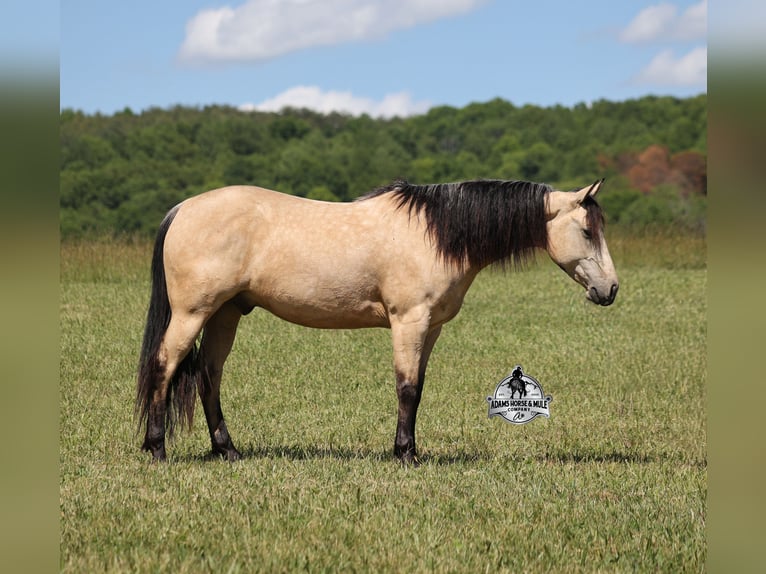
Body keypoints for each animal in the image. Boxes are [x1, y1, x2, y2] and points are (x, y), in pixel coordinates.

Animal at [136, 178, 618, 464]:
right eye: (587, 230)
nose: (610, 289)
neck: (435, 235)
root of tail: (182, 208)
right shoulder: (409, 322)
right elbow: (406, 388)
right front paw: (405, 455)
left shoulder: (431, 328)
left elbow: (418, 388)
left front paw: (410, 449)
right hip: (192, 314)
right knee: (164, 366)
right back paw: (157, 449)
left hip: (225, 314)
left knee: (208, 376)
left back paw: (227, 450)